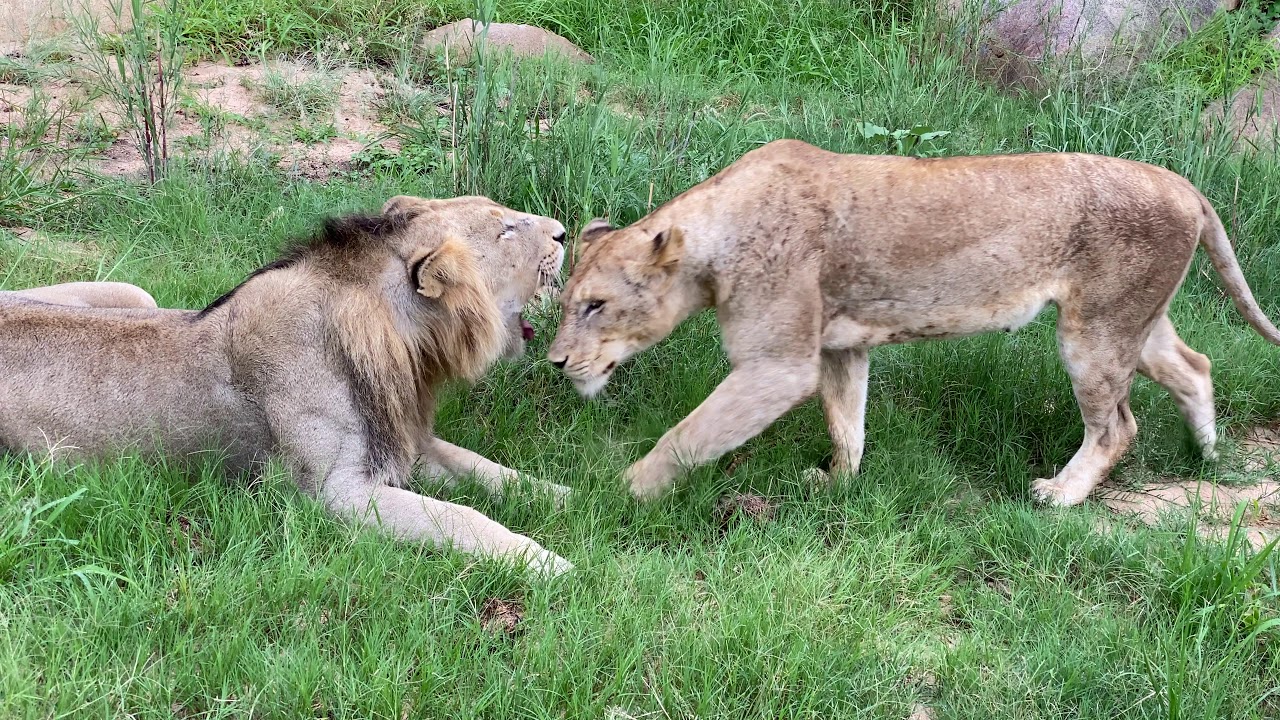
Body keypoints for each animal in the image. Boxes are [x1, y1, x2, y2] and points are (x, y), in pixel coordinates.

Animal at [0, 195, 573, 576]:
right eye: (505, 229)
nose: (564, 231)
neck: (408, 348)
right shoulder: (335, 495)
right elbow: (462, 518)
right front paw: (548, 562)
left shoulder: (402, 445)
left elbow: (484, 468)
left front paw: (566, 496)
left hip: (134, 294)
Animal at [547, 139, 1280, 507]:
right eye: (565, 304)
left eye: (595, 306)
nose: (555, 363)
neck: (715, 236)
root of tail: (1183, 185)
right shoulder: (840, 348)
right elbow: (847, 425)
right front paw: (836, 485)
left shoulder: (778, 366)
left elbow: (687, 436)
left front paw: (616, 492)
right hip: (1133, 321)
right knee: (1196, 368)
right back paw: (1208, 456)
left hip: (1096, 331)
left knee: (1116, 426)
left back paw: (1059, 495)